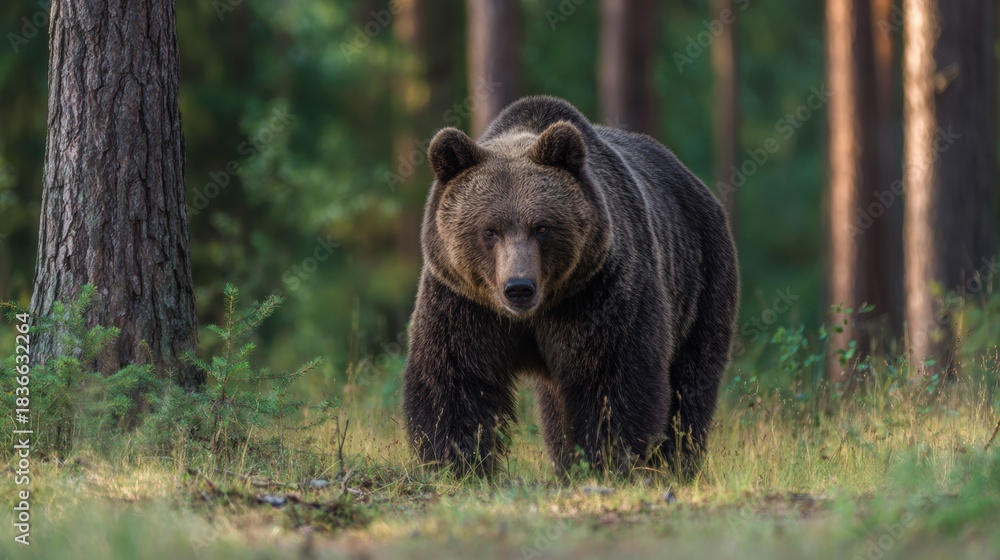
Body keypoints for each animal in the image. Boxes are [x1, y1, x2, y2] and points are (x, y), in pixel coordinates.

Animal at [402, 96, 739, 479]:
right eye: (489, 230)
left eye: (541, 227)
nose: (519, 287)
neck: (535, 312)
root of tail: (697, 185)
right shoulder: (464, 299)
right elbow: (457, 375)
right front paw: (457, 462)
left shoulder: (596, 291)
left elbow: (611, 377)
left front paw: (609, 459)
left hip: (702, 276)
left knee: (691, 383)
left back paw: (675, 462)